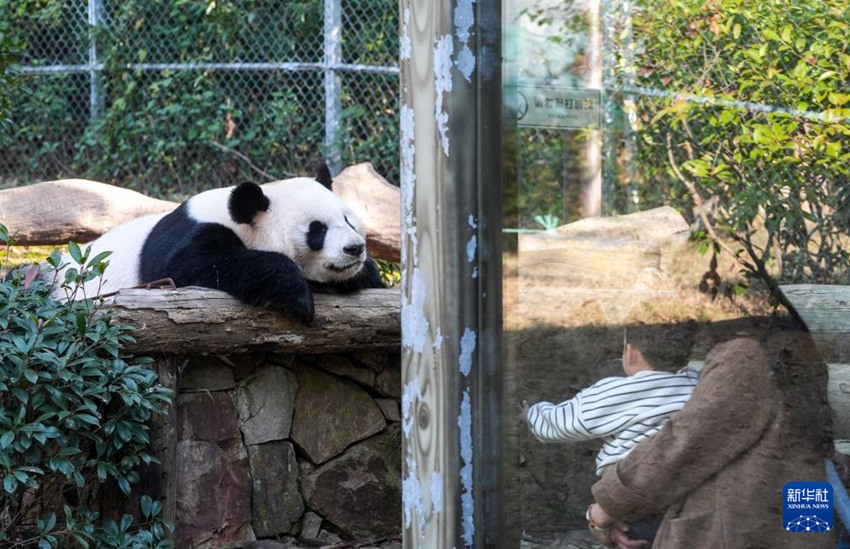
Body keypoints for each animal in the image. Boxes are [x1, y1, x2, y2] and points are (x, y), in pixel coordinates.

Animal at [52, 167, 380, 322]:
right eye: (317, 230)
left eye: (348, 220)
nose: (354, 249)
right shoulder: (196, 235)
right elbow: (196, 267)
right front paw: (297, 297)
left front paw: (365, 275)